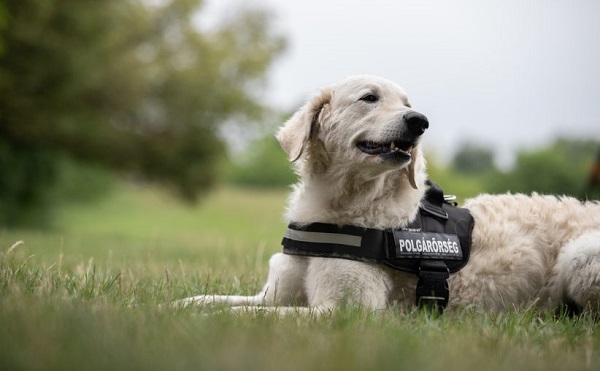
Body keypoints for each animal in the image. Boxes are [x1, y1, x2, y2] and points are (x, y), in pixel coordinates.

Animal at [176, 77, 600, 316]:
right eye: (369, 98)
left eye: (407, 104)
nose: (420, 121)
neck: (341, 205)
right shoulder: (275, 295)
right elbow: (217, 301)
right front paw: (174, 308)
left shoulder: (344, 311)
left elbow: (247, 317)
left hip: (581, 257)